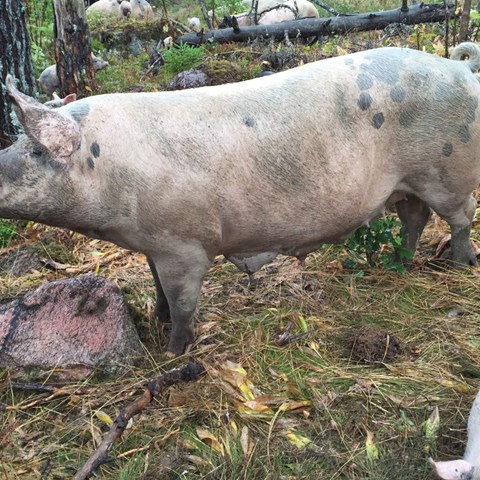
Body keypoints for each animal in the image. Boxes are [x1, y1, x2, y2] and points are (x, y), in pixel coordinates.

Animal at [2, 44, 480, 356]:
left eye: (35, 150)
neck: (109, 169)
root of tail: (459, 69)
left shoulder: (185, 245)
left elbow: (183, 301)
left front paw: (172, 353)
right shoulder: (154, 243)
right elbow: (158, 287)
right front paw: (156, 319)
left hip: (447, 172)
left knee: (460, 217)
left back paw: (460, 265)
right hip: (406, 183)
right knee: (415, 217)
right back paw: (400, 262)